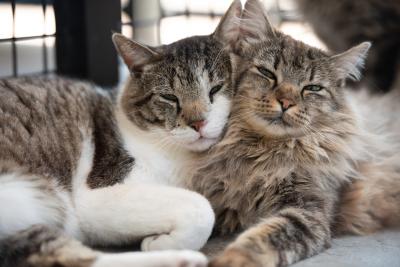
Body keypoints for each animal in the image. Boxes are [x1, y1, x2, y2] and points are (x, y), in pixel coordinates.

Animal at [0, 2, 241, 267]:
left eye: (216, 89)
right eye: (169, 97)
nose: (198, 123)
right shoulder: (96, 194)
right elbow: (200, 207)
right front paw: (157, 242)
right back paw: (184, 258)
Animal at [190, 1, 400, 266]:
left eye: (313, 88)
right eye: (267, 73)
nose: (286, 102)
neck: (259, 151)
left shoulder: (307, 210)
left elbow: (263, 238)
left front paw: (232, 258)